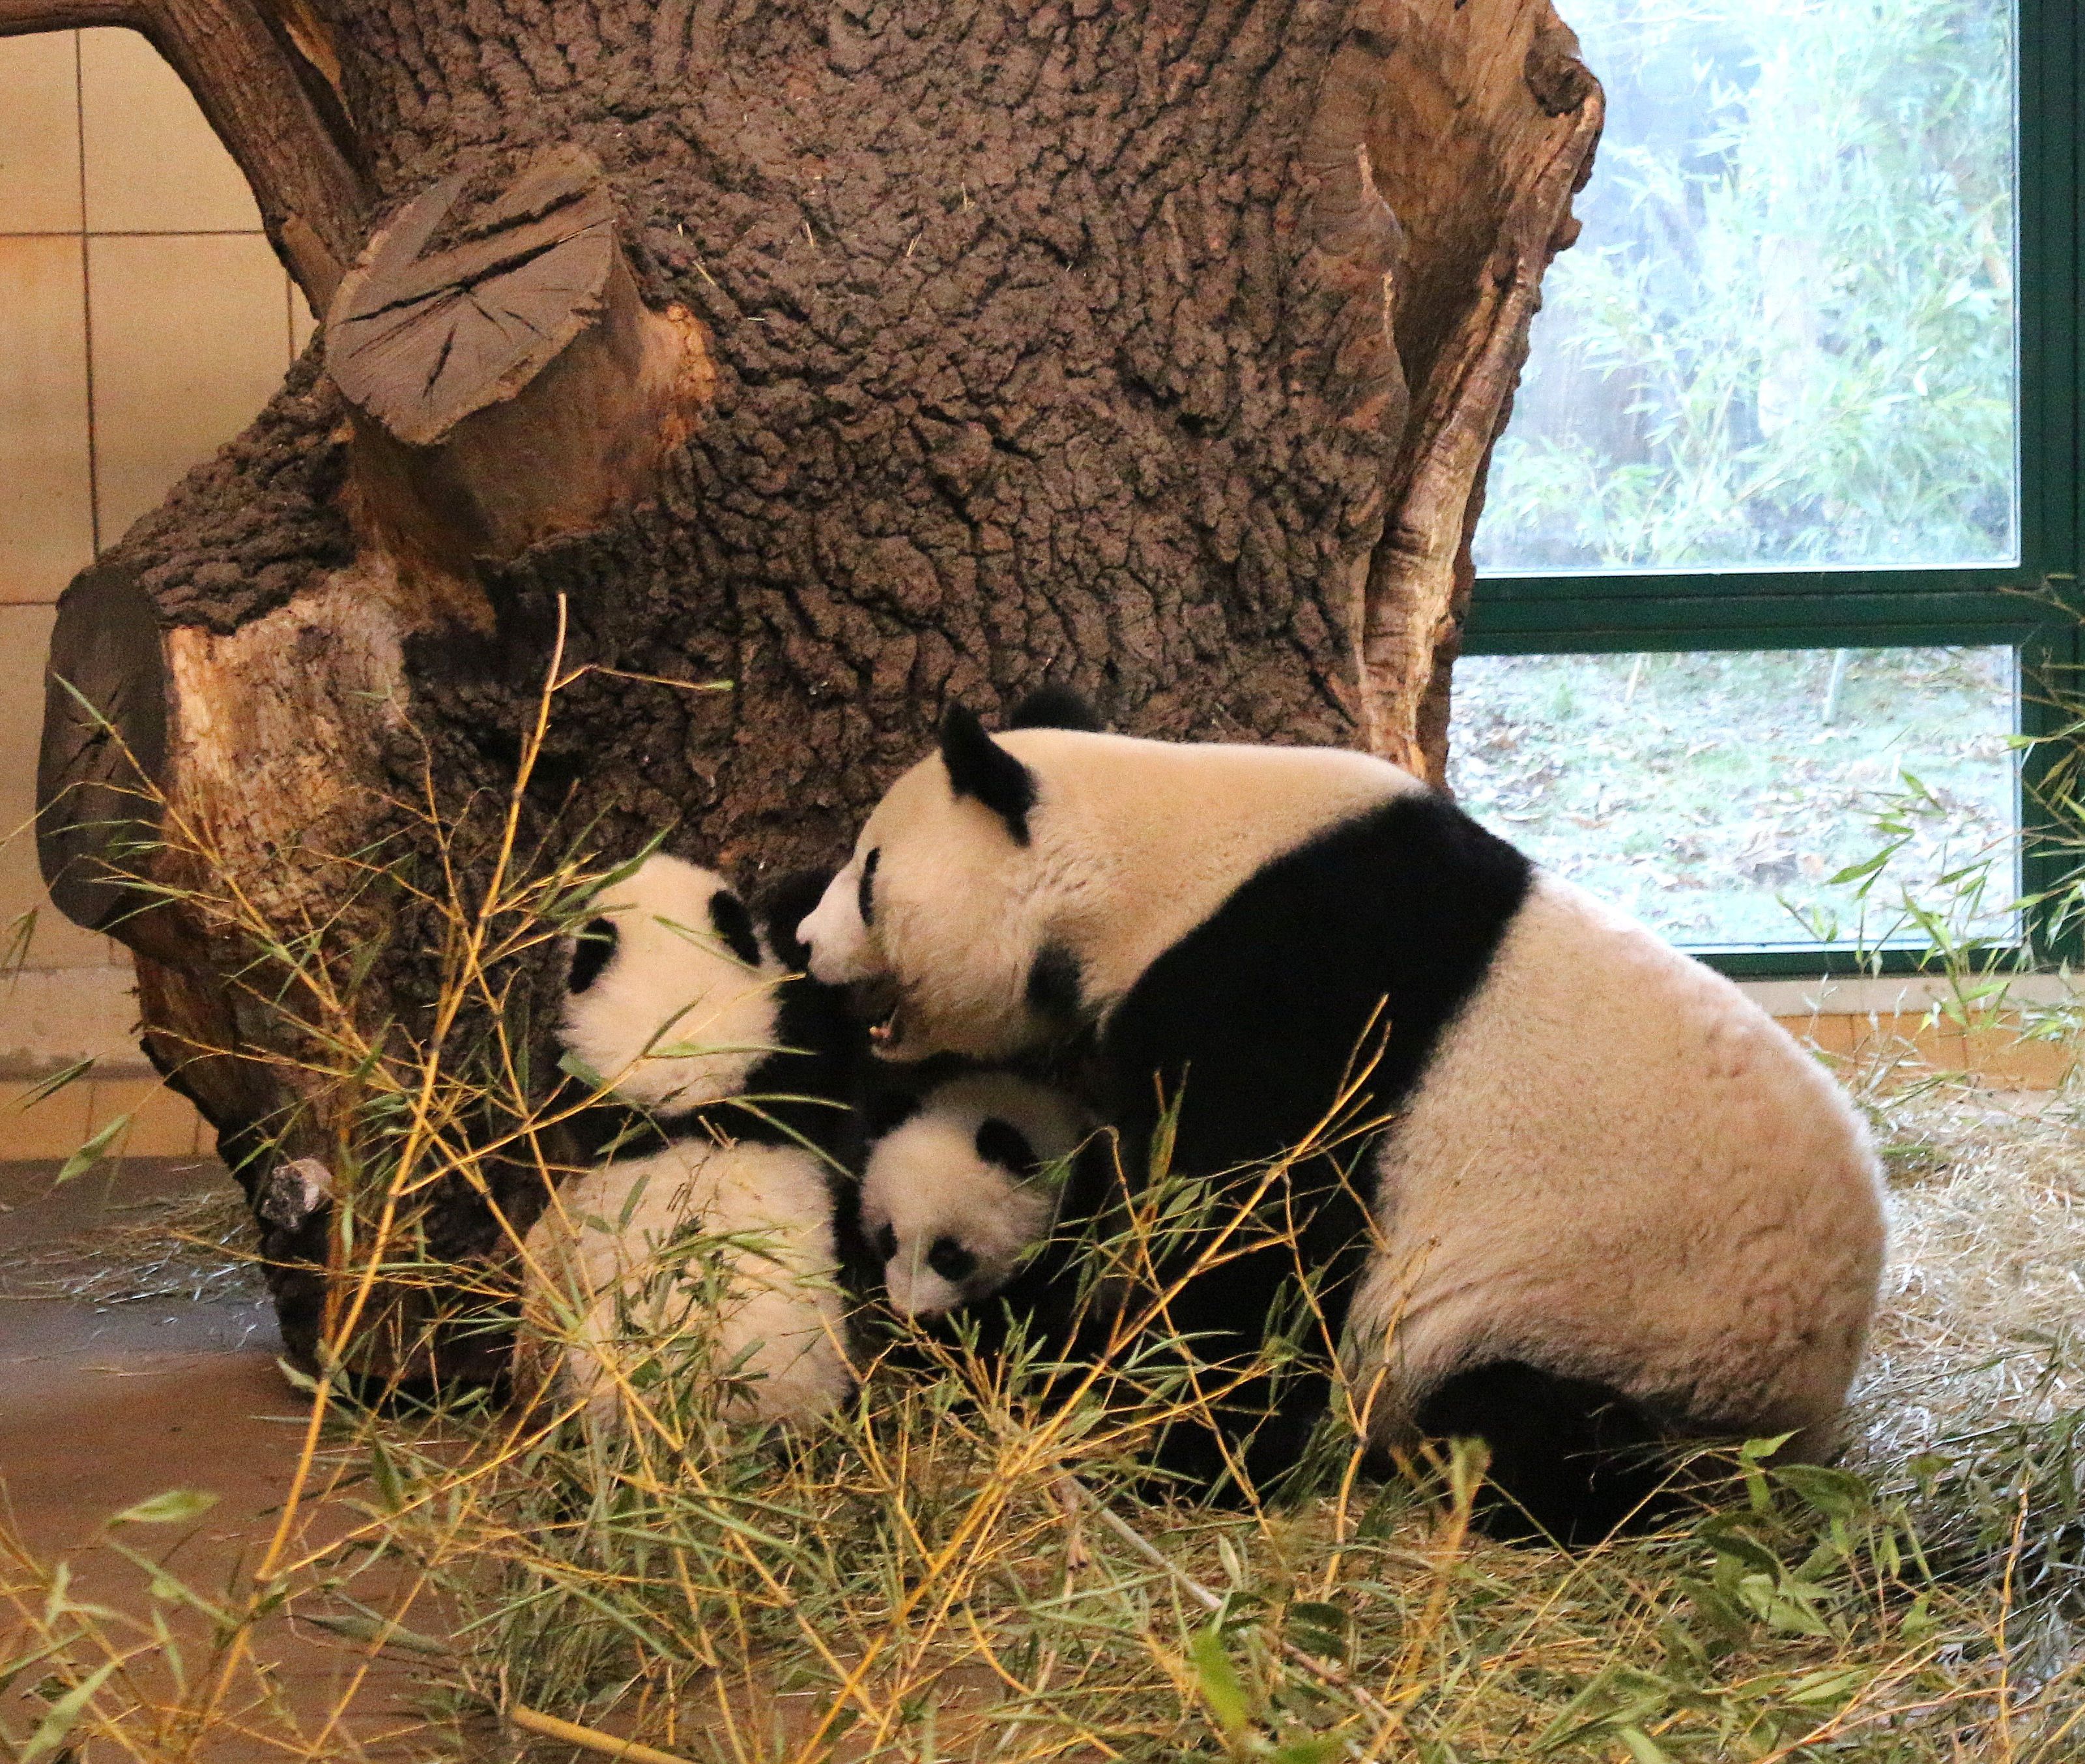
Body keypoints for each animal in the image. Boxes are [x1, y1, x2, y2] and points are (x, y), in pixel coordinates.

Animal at [792, 696, 1893, 1542]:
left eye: (872, 873)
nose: (804, 941)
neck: (1147, 855)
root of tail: (1808, 1421)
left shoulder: (1292, 994)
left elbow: (1252, 1236)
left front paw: (1178, 1450)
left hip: (1622, 1333)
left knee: (1527, 1424)